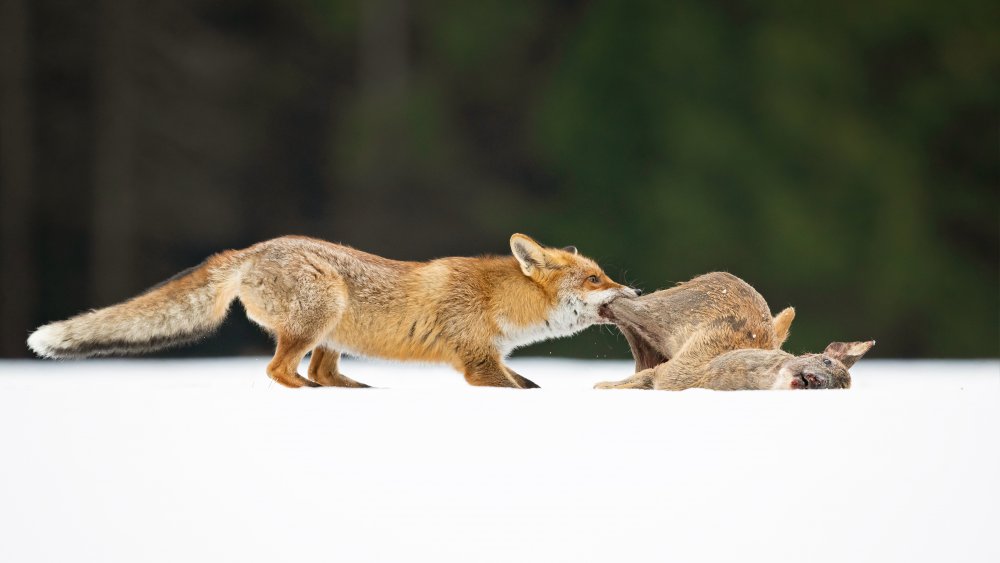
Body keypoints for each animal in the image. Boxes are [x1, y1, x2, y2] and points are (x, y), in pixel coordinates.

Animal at [31, 234, 640, 388]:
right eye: (594, 279)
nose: (633, 291)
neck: (497, 304)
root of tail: (253, 249)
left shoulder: (494, 357)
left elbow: (529, 386)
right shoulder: (476, 362)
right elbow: (516, 392)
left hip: (333, 335)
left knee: (323, 373)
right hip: (320, 315)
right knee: (280, 371)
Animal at [592, 270, 876, 390]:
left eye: (838, 388)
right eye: (826, 360)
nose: (817, 382)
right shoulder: (673, 372)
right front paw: (600, 386)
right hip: (661, 310)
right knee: (619, 303)